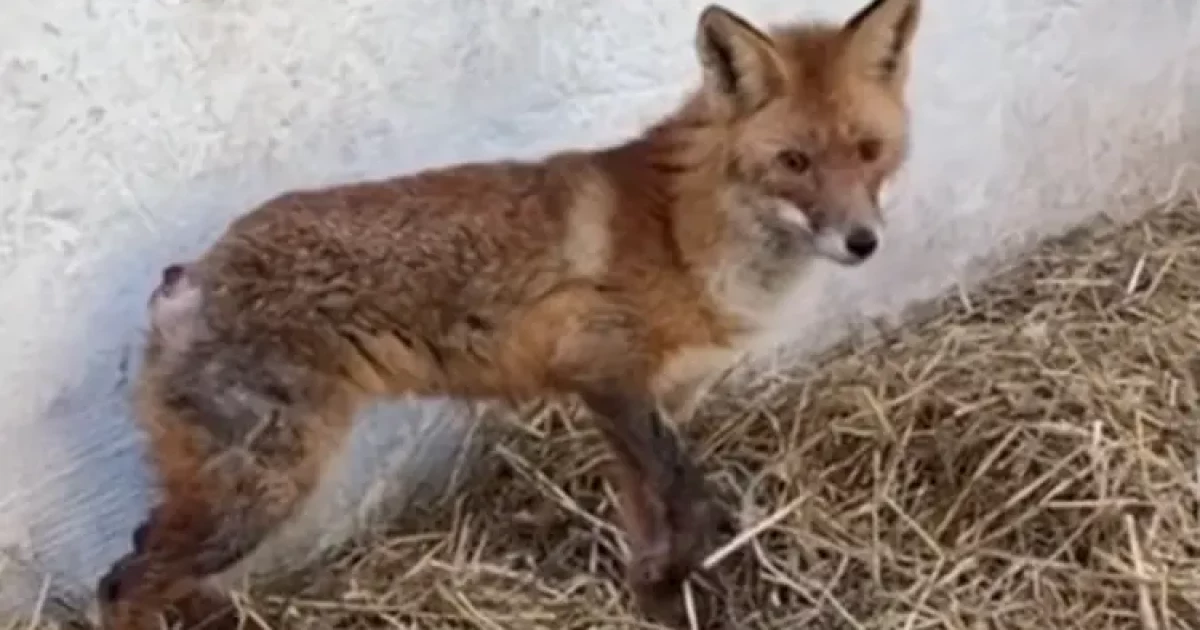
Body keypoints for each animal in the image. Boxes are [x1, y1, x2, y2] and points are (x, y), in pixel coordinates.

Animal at [95, 0, 921, 628]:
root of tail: (192, 273)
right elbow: (689, 503)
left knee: (139, 553)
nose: (863, 242)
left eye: (869, 150)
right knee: (120, 584)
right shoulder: (607, 373)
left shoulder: (641, 403)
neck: (686, 236)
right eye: (794, 163)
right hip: (262, 490)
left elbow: (652, 528)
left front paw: (654, 601)